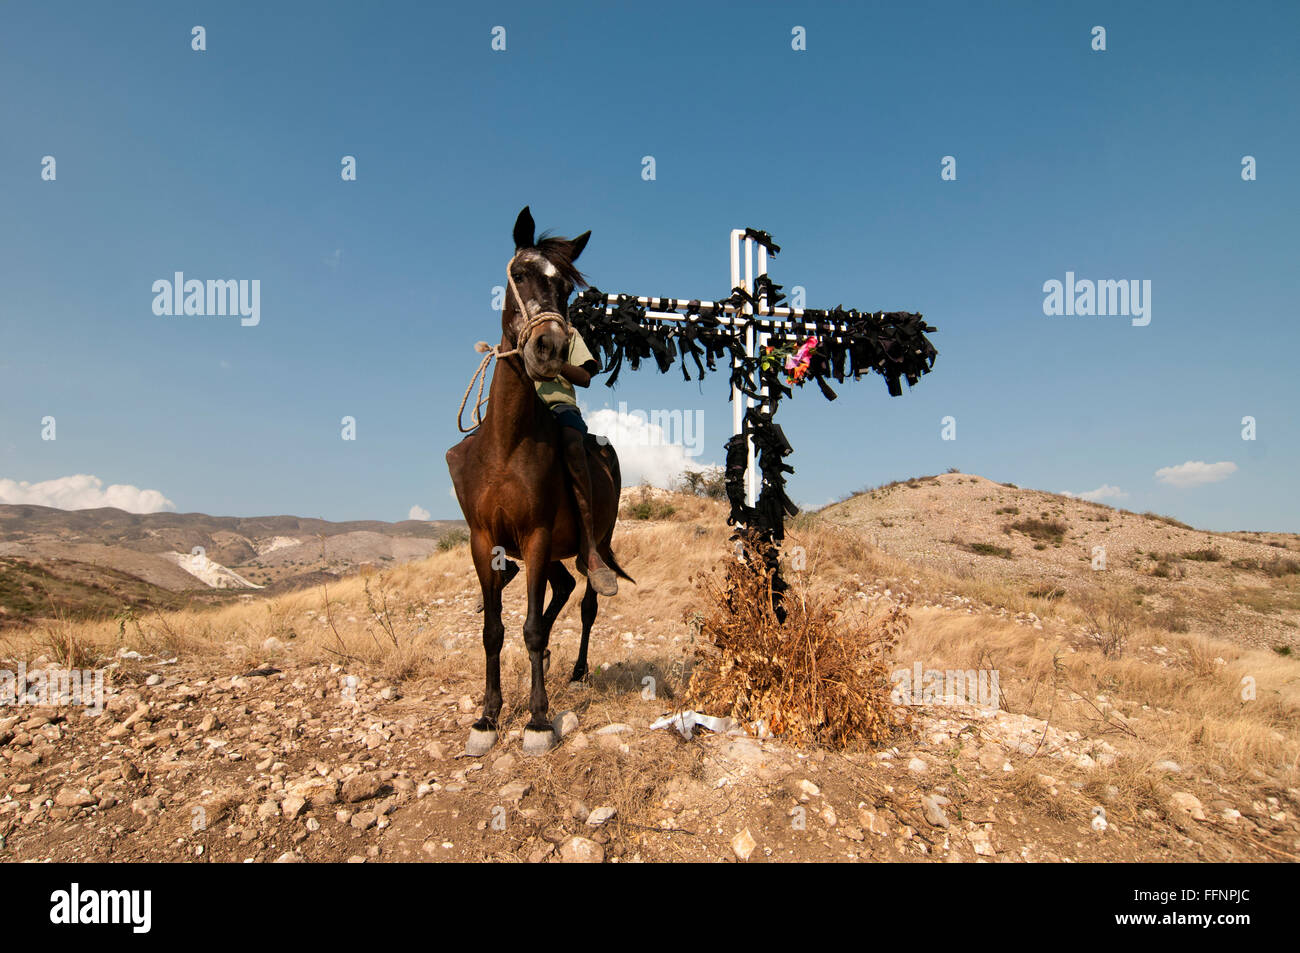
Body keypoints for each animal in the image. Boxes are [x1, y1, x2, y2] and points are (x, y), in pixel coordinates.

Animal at [444, 204, 631, 754]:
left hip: (594, 541)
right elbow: (493, 631)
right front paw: (487, 718)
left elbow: (529, 628)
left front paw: (539, 719)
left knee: (586, 599)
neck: (506, 443)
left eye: (566, 289)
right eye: (522, 274)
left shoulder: (537, 534)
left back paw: (578, 670)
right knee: (563, 587)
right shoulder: (485, 540)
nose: (549, 347)